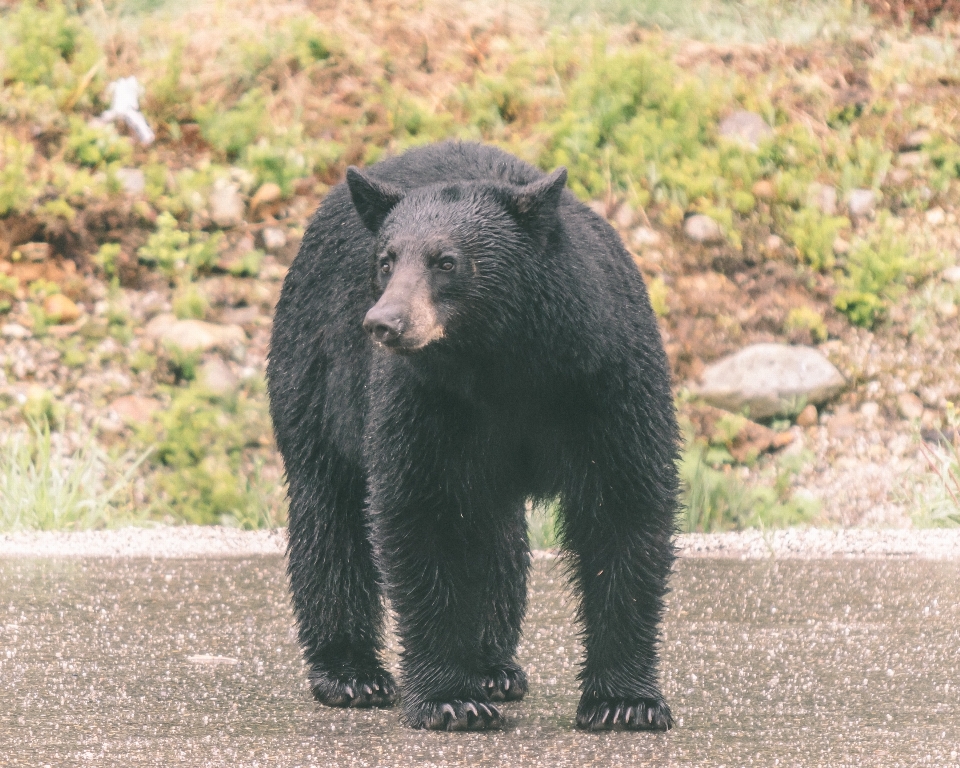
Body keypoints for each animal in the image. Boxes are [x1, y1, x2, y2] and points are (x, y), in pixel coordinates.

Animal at [266, 140, 680, 732]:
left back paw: (491, 665)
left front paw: (626, 702)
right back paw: (351, 672)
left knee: (493, 535)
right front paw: (449, 699)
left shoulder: (608, 377)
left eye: (446, 261)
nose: (384, 323)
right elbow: (419, 513)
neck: (502, 361)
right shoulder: (420, 399)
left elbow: (624, 507)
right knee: (329, 512)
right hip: (315, 371)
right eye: (386, 260)